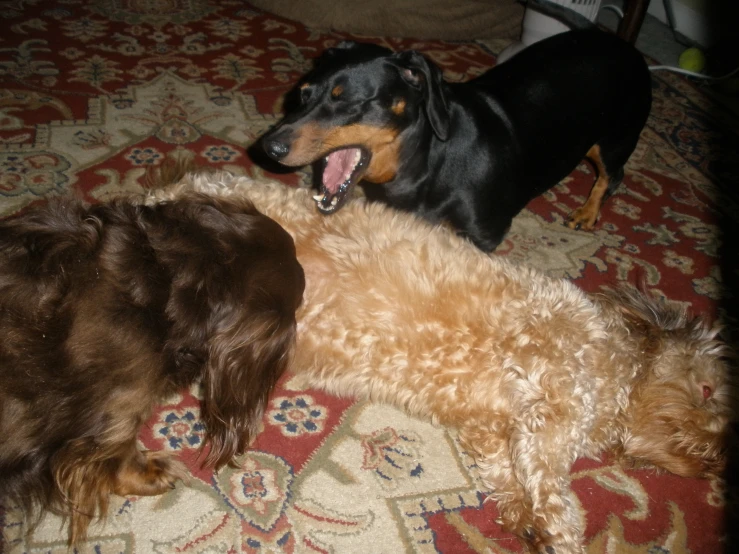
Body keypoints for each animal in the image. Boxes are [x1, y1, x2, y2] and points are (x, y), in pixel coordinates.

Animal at [147, 168, 732, 552]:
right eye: (707, 391)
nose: (719, 457)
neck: (612, 363)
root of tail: (162, 194)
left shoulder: (492, 426)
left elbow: (508, 470)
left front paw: (523, 515)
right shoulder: (553, 404)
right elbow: (551, 480)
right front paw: (561, 530)